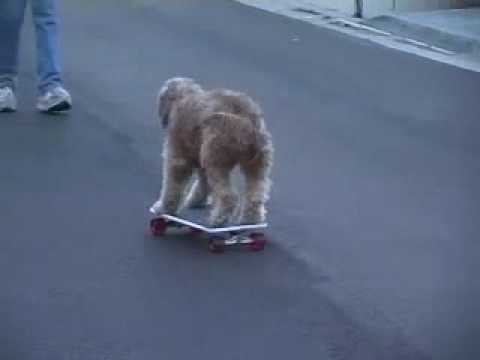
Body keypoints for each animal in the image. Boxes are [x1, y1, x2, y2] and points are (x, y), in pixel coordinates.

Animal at [150, 77, 274, 226]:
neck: (184, 97)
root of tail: (249, 120)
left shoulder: (177, 155)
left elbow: (173, 184)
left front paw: (164, 208)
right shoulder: (199, 156)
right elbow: (203, 183)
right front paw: (197, 200)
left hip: (217, 155)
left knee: (228, 196)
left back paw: (218, 219)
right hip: (258, 162)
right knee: (256, 193)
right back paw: (250, 220)